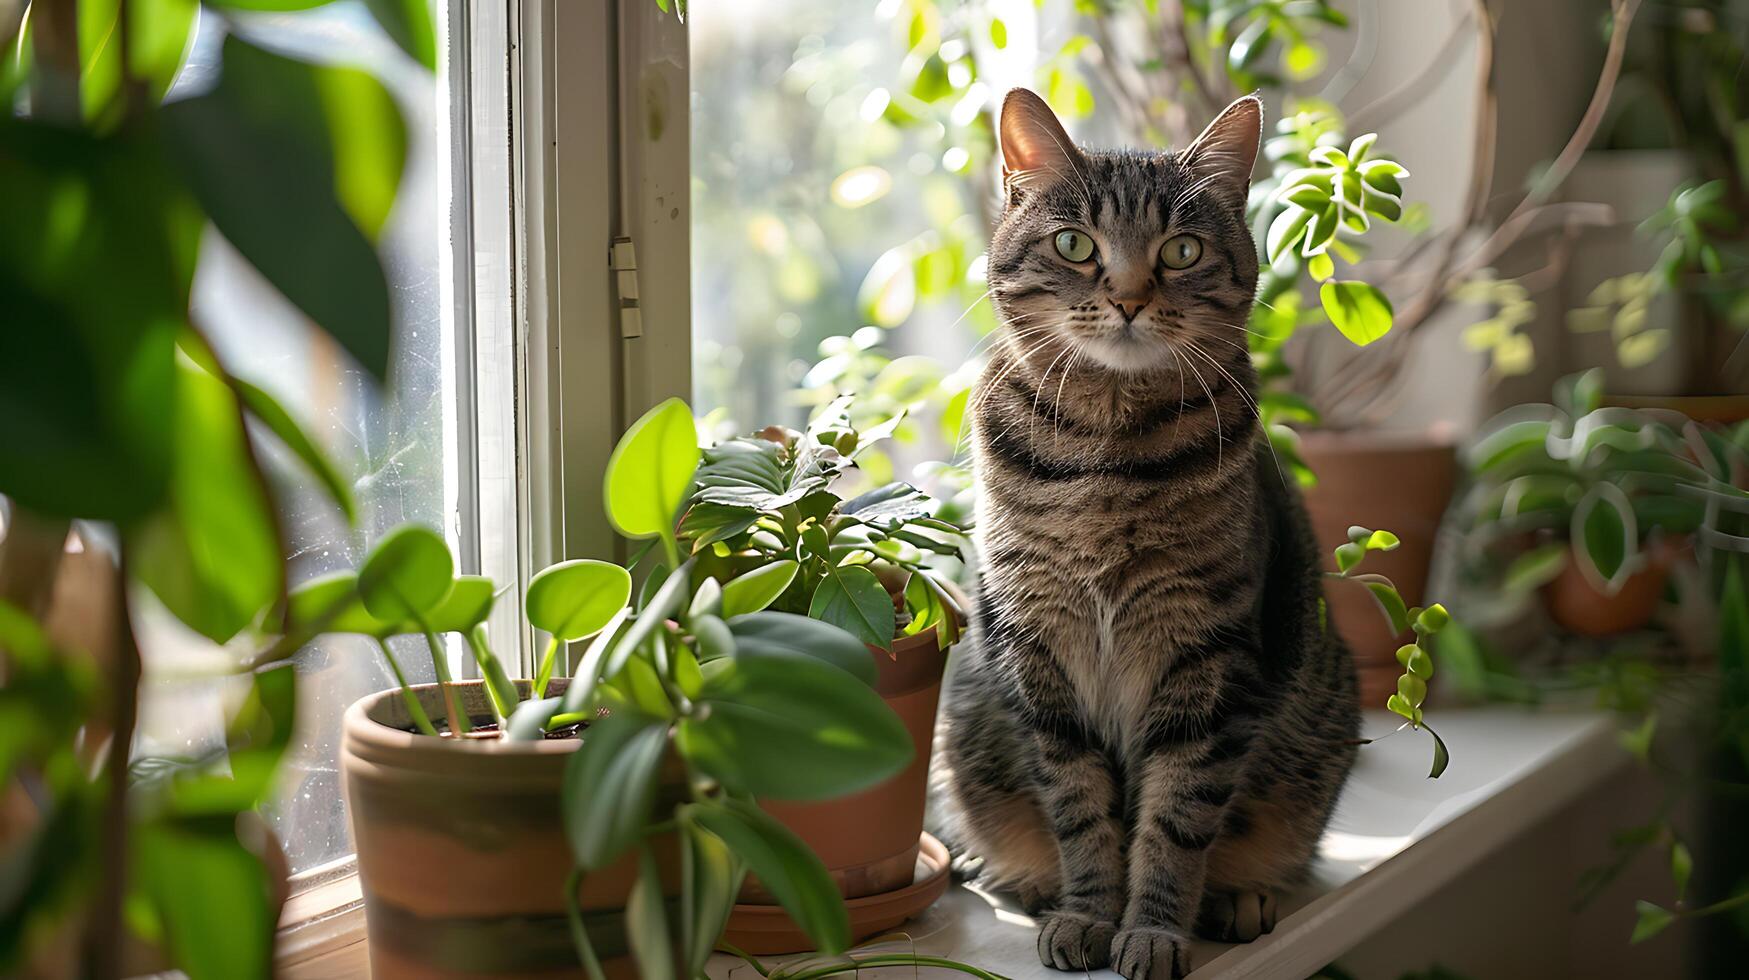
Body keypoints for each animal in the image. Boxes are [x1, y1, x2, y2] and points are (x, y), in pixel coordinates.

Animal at [937, 87, 1357, 973]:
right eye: (1074, 243)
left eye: (1180, 250)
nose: (1130, 298)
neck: (1104, 452)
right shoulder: (1038, 652)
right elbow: (1080, 811)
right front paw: (1087, 914)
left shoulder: (1205, 659)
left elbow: (1174, 820)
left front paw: (1154, 931)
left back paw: (1238, 899)